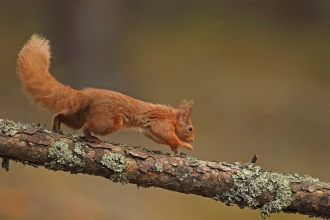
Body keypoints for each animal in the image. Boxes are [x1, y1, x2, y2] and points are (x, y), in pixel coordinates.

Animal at [16, 34, 195, 155]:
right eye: (190, 128)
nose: (193, 139)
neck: (173, 117)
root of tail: (88, 96)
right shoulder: (162, 122)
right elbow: (166, 134)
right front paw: (184, 144)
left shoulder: (149, 131)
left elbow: (160, 138)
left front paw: (175, 148)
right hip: (109, 121)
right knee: (87, 126)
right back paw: (91, 138)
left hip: (78, 116)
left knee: (62, 116)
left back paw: (56, 126)